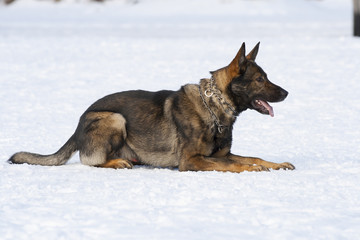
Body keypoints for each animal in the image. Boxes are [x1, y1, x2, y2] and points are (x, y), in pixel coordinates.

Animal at [9, 42, 296, 172]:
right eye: (260, 80)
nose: (287, 93)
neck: (214, 107)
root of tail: (77, 125)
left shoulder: (223, 154)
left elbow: (252, 157)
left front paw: (276, 164)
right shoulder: (191, 160)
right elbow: (233, 165)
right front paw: (252, 169)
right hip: (114, 118)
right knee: (91, 161)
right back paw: (118, 162)